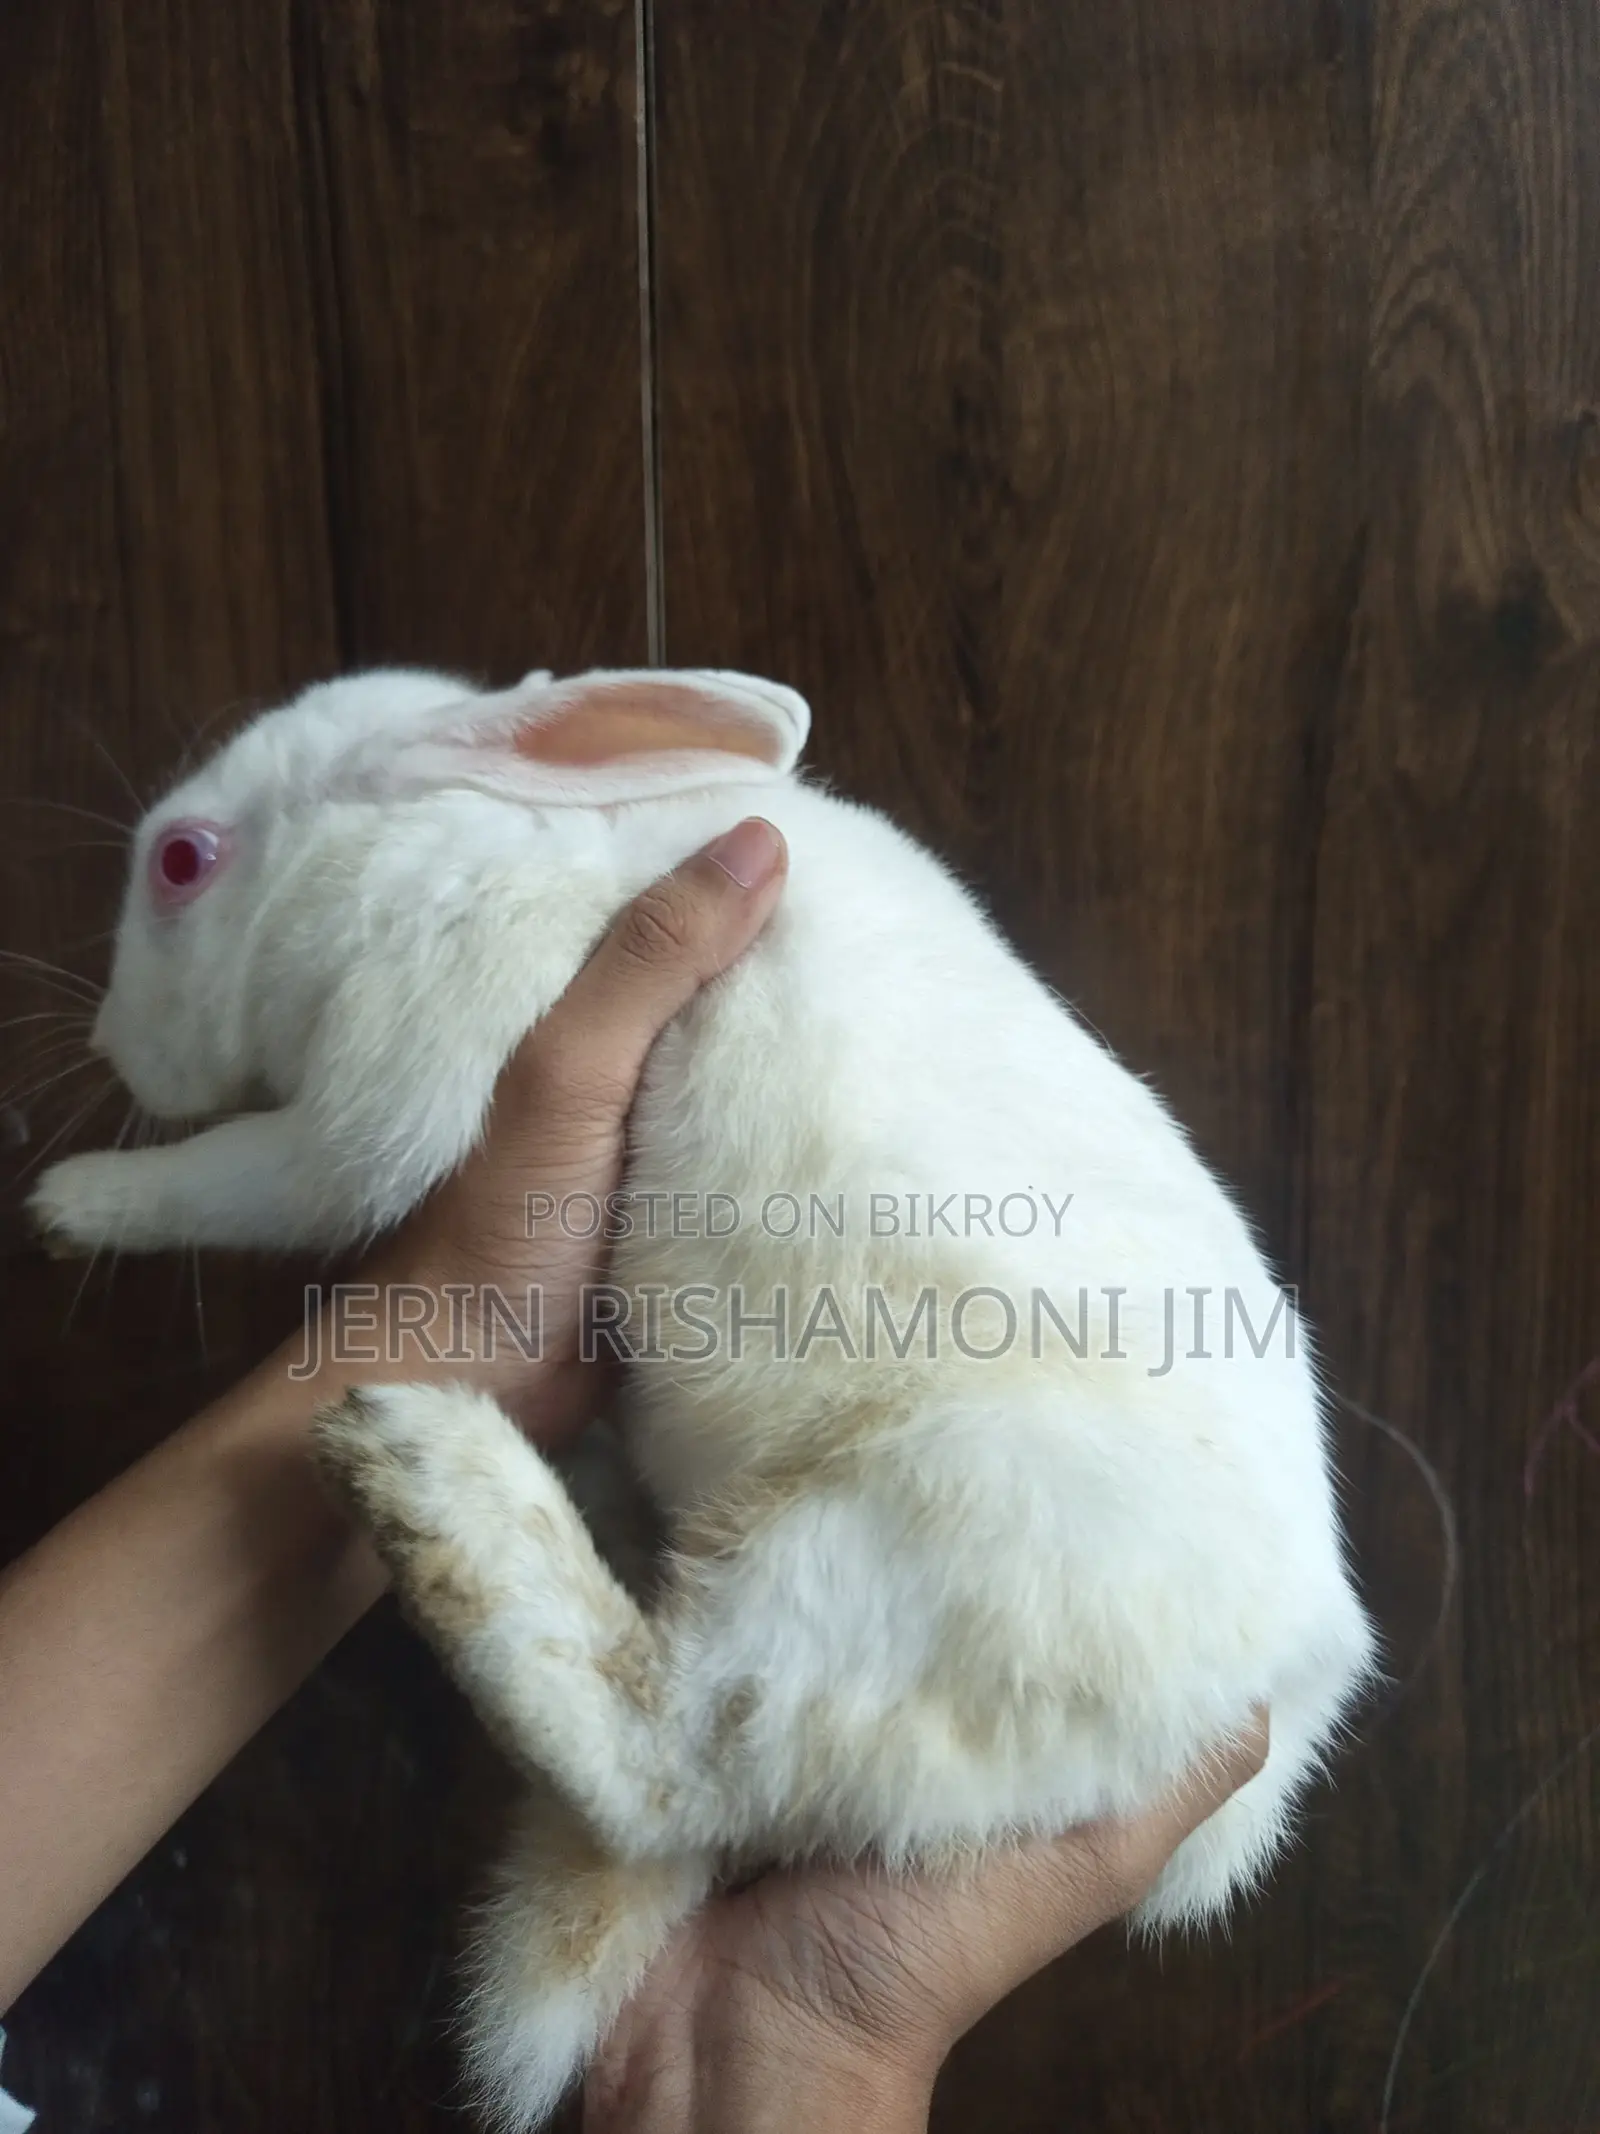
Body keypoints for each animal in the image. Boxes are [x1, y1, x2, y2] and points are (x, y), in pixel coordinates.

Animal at [30, 665, 1377, 2129]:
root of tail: (1280, 1700)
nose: (109, 1042)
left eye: (181, 860)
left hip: (877, 1556)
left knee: (661, 1760)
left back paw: (428, 1463)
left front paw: (72, 1202)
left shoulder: (399, 1072)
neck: (453, 826)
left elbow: (258, 1176)